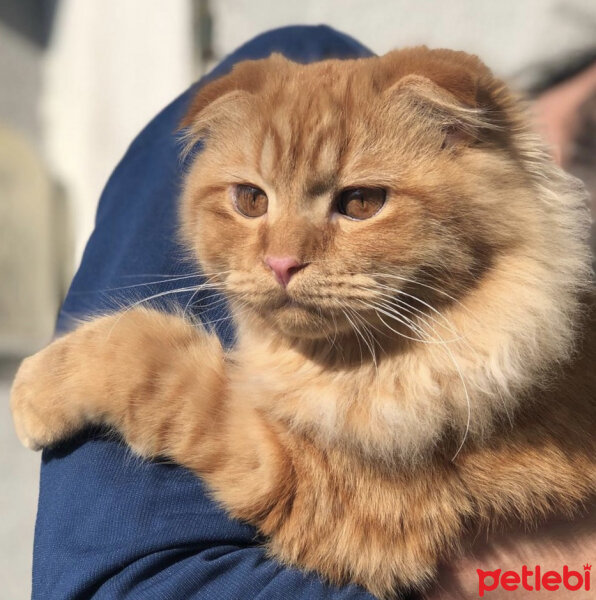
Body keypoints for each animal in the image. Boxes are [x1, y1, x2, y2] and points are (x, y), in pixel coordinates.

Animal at [10, 49, 596, 596]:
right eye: (251, 200)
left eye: (361, 202)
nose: (282, 264)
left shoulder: (316, 483)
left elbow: (149, 358)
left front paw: (34, 390)